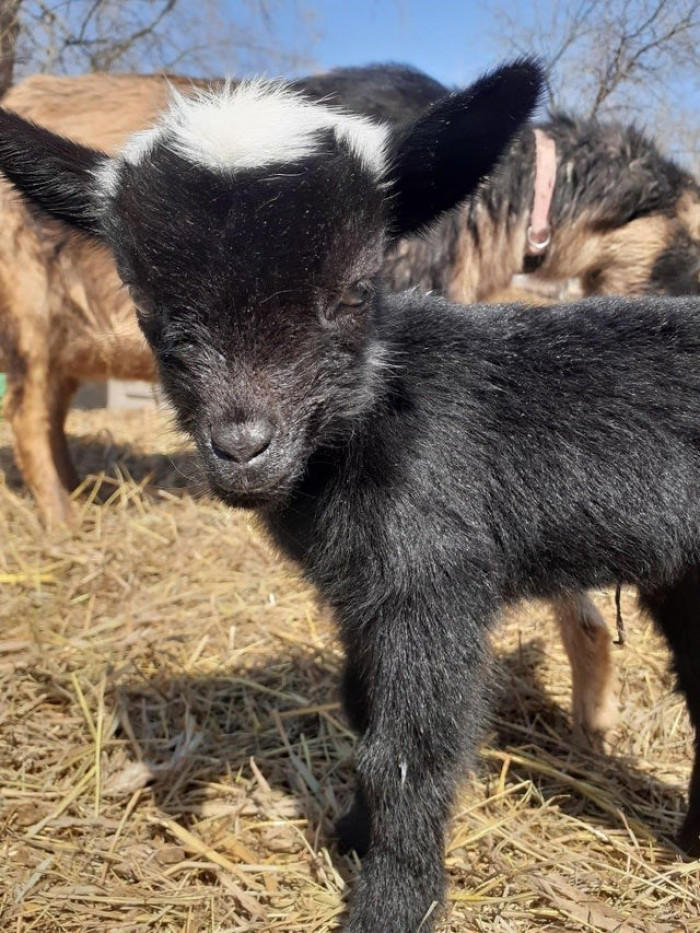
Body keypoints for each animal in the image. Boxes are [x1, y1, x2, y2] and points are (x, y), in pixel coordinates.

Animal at [2, 62, 700, 931]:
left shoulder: (433, 585)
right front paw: (350, 835)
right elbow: (361, 707)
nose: (243, 446)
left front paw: (390, 901)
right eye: (148, 306)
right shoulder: (362, 600)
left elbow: (407, 751)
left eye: (357, 288)